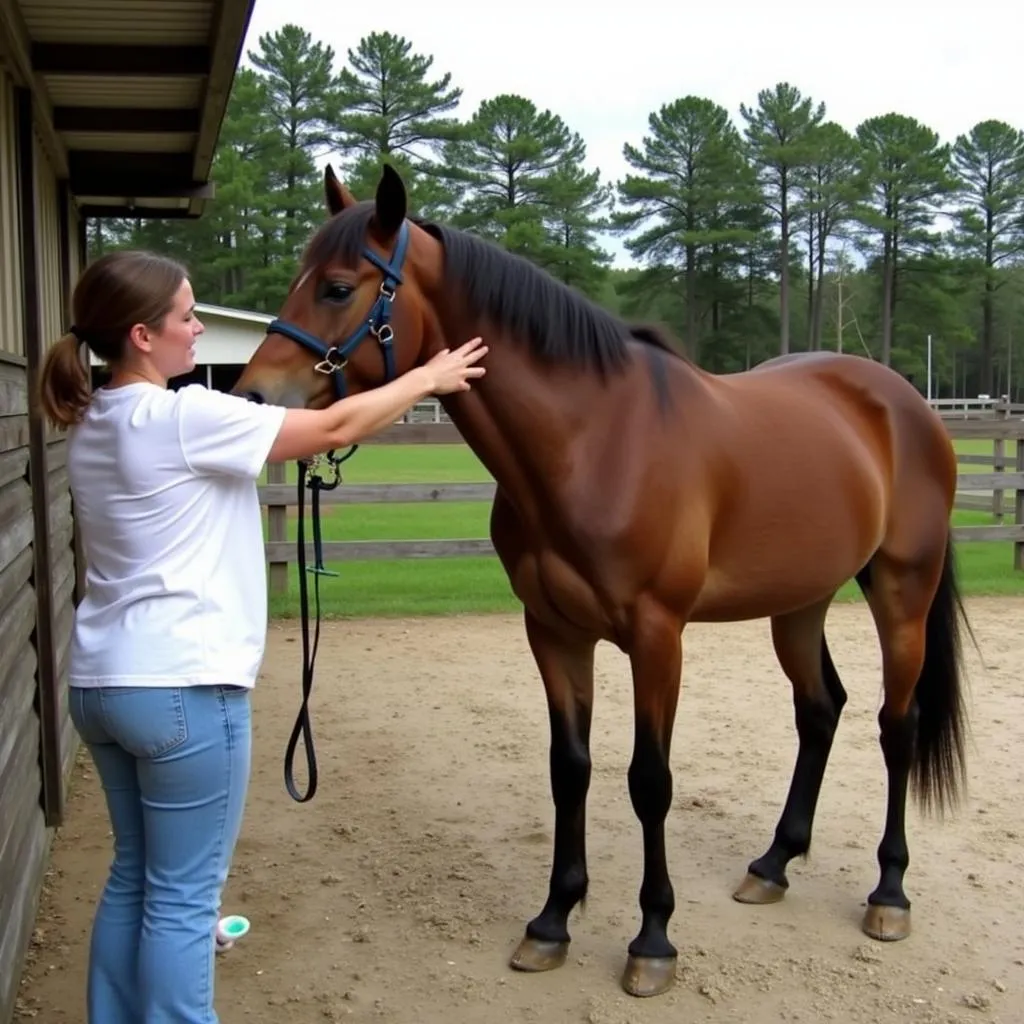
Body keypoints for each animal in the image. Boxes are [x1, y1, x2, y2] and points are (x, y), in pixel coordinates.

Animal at [230, 163, 966, 995]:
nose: (251, 398)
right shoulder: (553, 630)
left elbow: (650, 780)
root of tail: (904, 402)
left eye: (336, 287)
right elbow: (570, 769)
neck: (594, 441)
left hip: (901, 591)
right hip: (800, 602)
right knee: (820, 710)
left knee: (895, 725)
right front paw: (552, 921)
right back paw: (774, 863)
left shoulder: (657, 636)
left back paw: (890, 893)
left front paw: (653, 939)